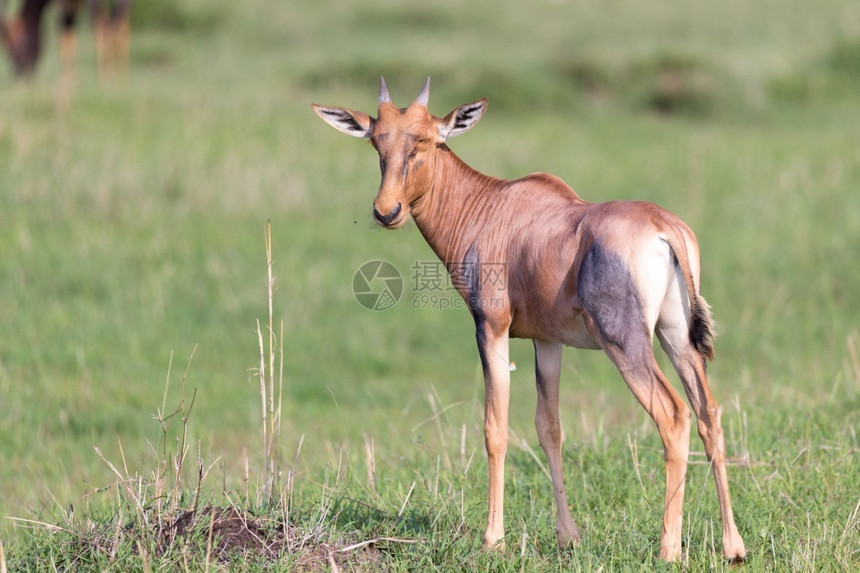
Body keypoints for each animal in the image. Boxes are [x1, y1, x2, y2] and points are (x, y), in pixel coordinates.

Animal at [312, 78, 748, 560]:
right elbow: (549, 427)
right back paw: (733, 545)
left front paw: (493, 539)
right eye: (377, 142)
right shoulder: (547, 340)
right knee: (708, 413)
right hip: (677, 336)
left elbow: (495, 427)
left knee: (673, 416)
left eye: (423, 141)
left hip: (626, 342)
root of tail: (663, 227)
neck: (493, 206)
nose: (386, 211)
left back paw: (667, 548)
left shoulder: (492, 327)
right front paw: (568, 537)